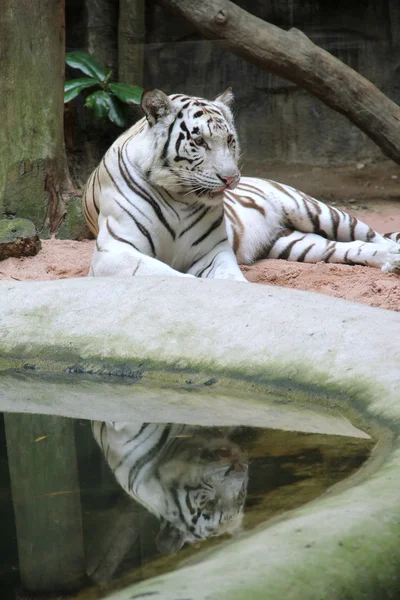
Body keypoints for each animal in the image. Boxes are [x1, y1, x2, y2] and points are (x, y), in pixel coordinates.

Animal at [83, 88, 400, 278]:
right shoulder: (115, 251)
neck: (179, 198)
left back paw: (393, 255)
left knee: (374, 236)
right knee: (347, 247)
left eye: (230, 140)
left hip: (318, 212)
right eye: (199, 141)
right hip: (295, 243)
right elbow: (171, 277)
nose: (230, 178)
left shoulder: (213, 251)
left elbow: (229, 278)